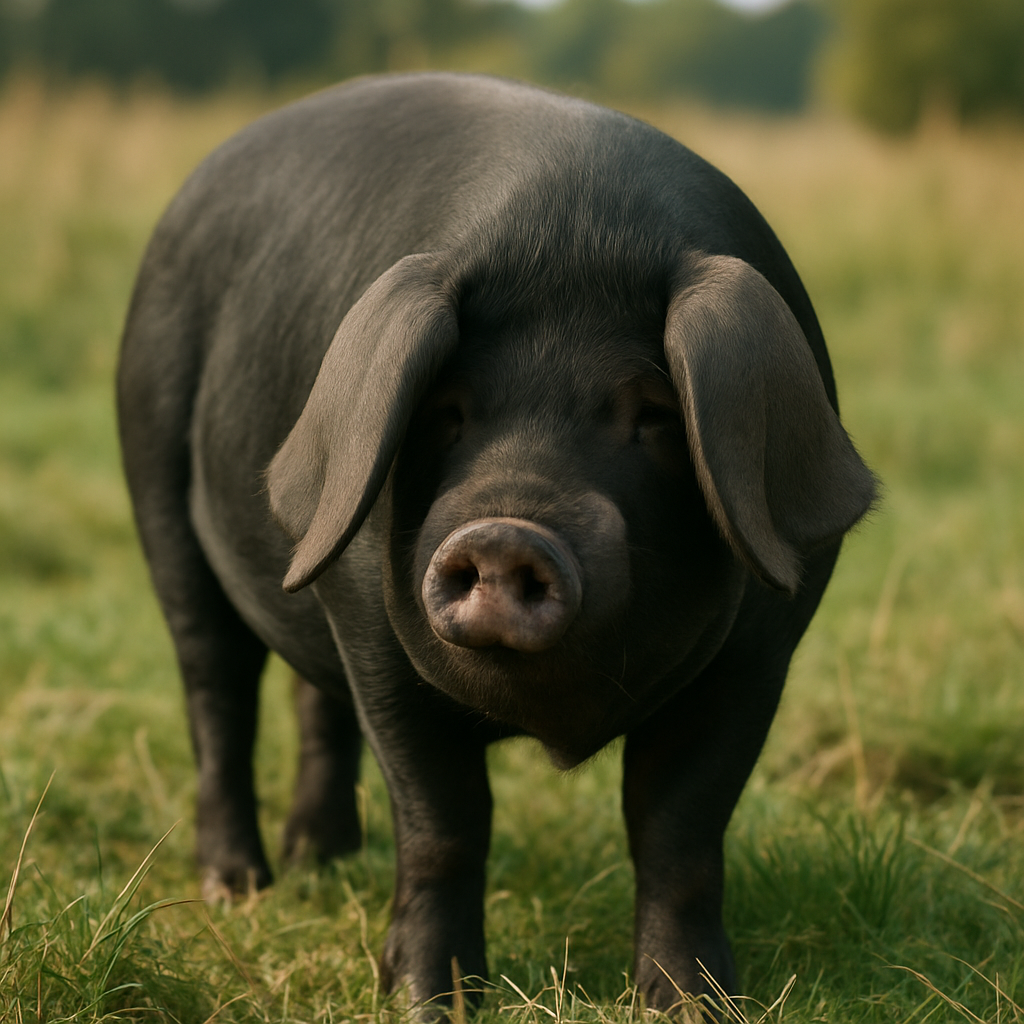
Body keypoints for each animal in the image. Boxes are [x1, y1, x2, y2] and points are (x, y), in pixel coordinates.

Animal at [117, 72, 875, 1014]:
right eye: (447, 410)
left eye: (654, 414)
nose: (508, 532)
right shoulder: (375, 639)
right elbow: (444, 824)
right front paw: (428, 1005)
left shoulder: (759, 657)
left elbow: (680, 829)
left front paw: (690, 1007)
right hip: (153, 468)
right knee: (215, 690)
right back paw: (238, 888)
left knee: (310, 704)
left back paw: (320, 861)